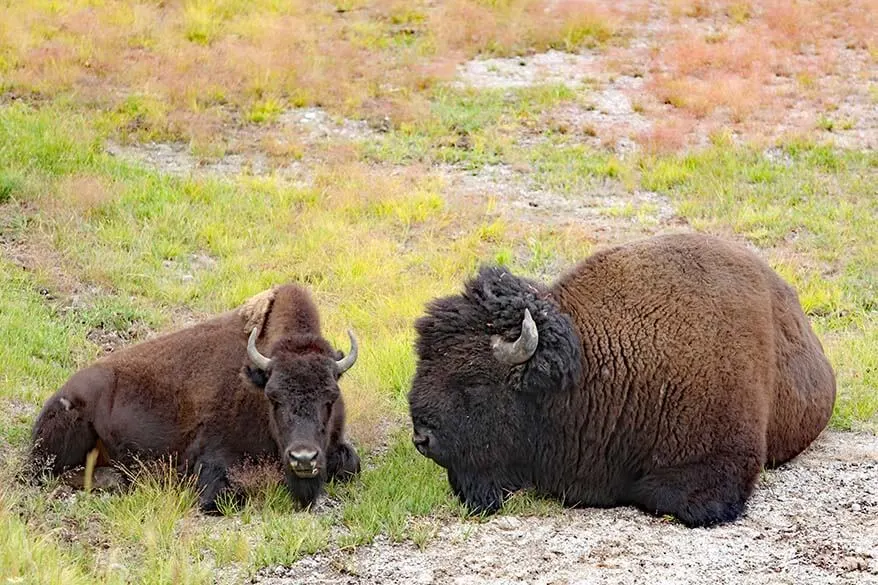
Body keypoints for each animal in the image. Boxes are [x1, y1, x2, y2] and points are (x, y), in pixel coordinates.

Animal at [28, 284, 360, 512]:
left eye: (330, 398)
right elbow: (224, 495)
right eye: (274, 398)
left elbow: (351, 464)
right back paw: (116, 480)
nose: (303, 458)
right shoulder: (212, 460)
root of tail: (59, 395)